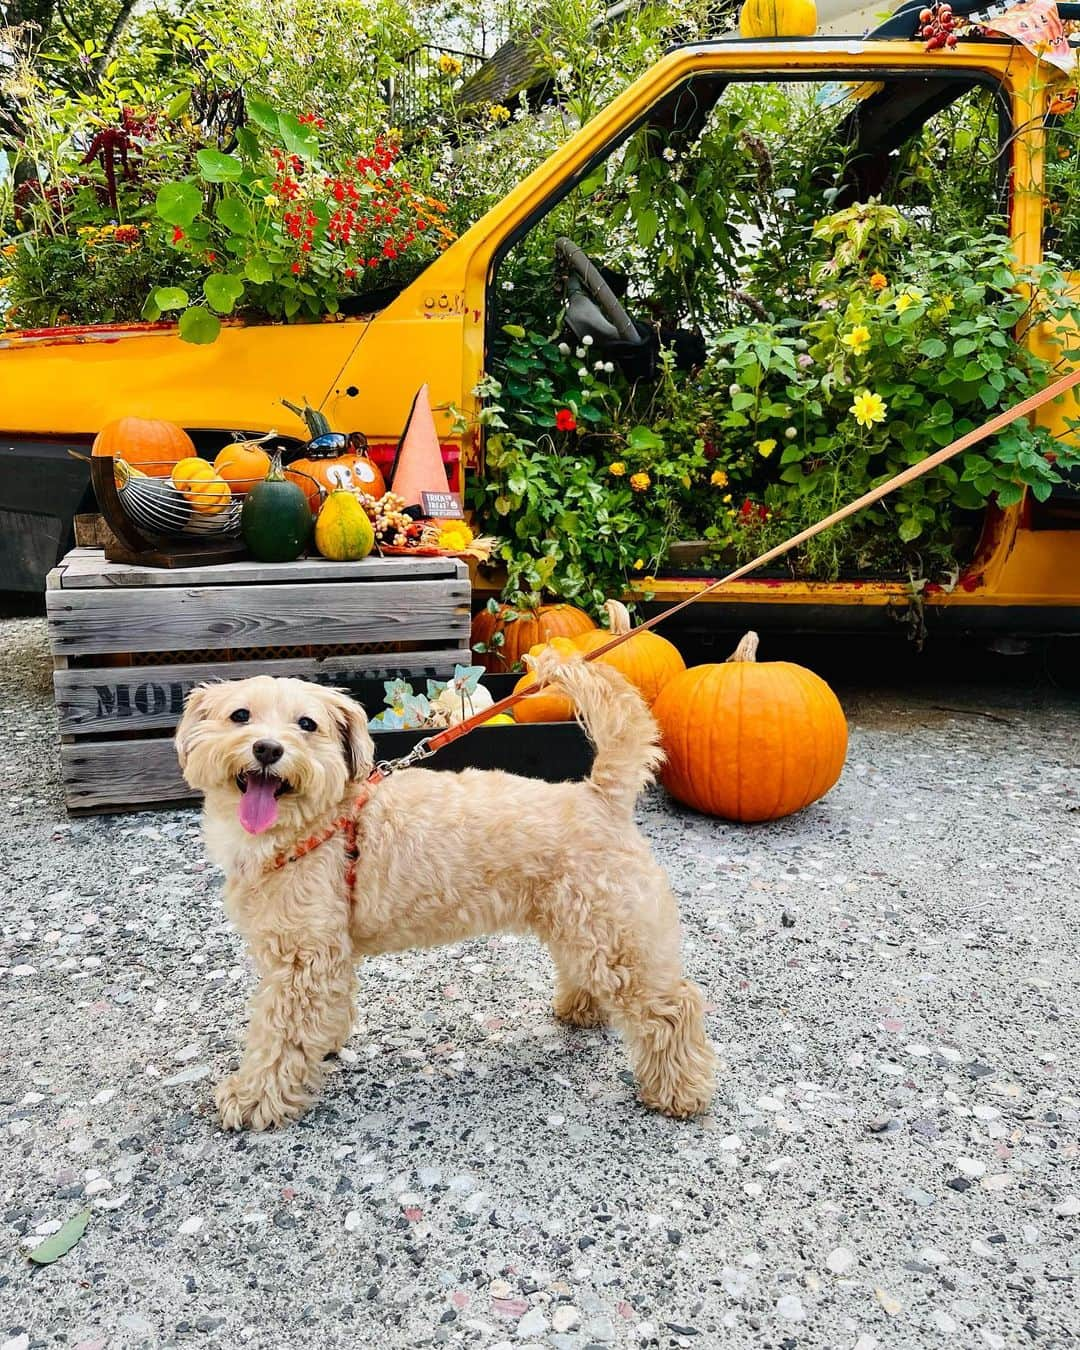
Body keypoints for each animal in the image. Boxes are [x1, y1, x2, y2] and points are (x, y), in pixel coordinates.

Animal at [175, 650, 718, 1128]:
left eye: (307, 724)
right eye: (240, 715)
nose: (268, 749)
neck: (324, 822)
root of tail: (600, 795)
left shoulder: (301, 962)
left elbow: (277, 1036)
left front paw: (252, 1100)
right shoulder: (328, 952)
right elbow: (324, 1014)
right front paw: (323, 1047)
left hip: (617, 937)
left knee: (674, 1007)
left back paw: (680, 1092)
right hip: (582, 924)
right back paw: (582, 1010)